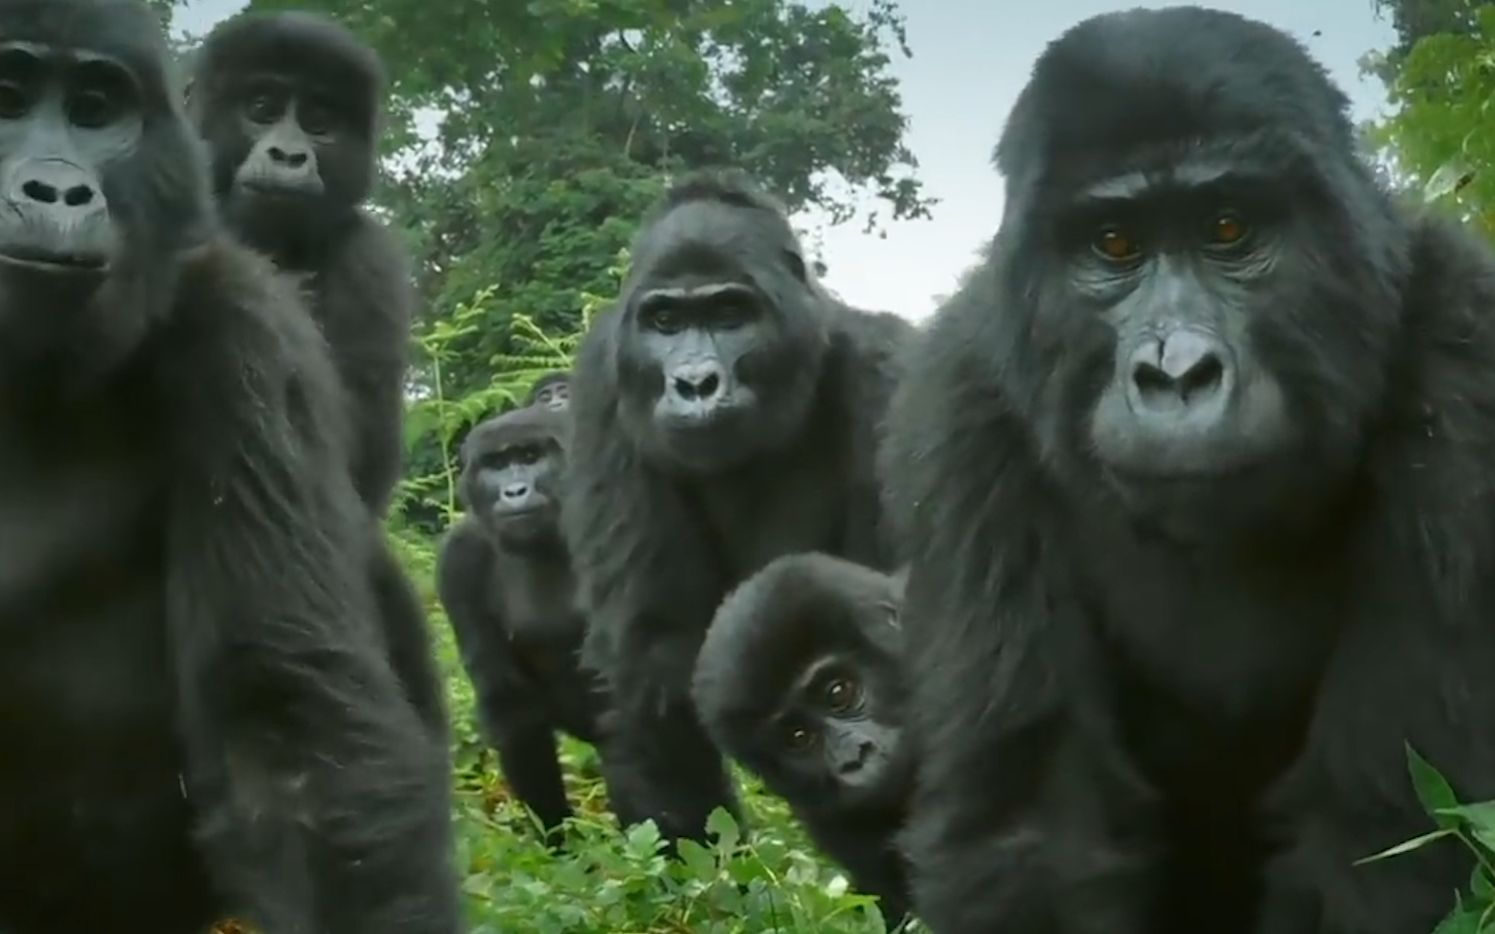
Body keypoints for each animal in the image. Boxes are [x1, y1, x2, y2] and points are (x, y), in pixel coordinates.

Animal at [436, 406, 600, 836]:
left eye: (530, 457)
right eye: (496, 465)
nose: (514, 492)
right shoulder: (458, 559)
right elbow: (511, 707)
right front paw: (557, 837)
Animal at [562, 169, 908, 842]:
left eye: (729, 314)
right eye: (665, 320)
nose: (695, 383)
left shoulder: (888, 372)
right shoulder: (602, 388)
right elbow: (650, 656)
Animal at [879, 7, 1495, 932]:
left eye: (1227, 228)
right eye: (1114, 243)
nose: (1175, 373)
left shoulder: (1466, 368)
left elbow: (1383, 834)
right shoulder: (960, 414)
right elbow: (1037, 832)